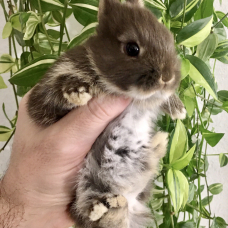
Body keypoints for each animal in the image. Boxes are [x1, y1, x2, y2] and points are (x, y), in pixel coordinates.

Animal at [27, 0, 187, 226]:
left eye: (169, 39)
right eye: (132, 48)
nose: (167, 77)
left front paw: (178, 110)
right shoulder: (44, 99)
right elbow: (58, 90)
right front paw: (78, 93)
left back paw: (157, 145)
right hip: (87, 185)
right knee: (91, 213)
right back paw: (105, 206)